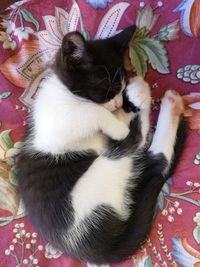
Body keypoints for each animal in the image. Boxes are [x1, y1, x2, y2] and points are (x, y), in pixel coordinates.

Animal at [16, 26, 186, 264]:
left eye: (121, 87)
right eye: (106, 88)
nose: (119, 101)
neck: (65, 93)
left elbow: (115, 115)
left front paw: (130, 98)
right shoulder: (54, 129)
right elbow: (93, 112)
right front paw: (120, 122)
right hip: (102, 177)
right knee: (144, 148)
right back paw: (162, 101)